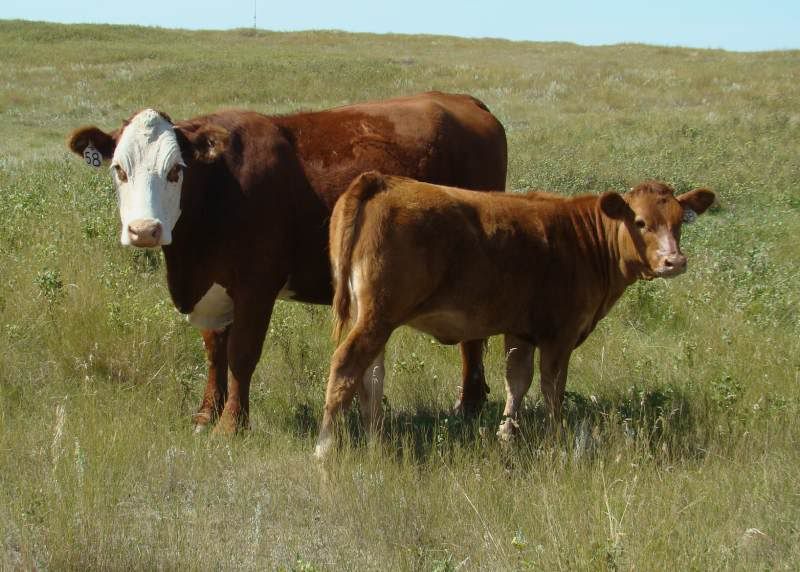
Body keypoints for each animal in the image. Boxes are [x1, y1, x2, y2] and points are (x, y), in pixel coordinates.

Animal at [66, 92, 507, 434]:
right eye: (119, 169)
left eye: (176, 170)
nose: (144, 230)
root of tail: (462, 100)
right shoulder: (213, 287)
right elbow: (214, 351)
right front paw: (206, 414)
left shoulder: (256, 286)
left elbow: (241, 354)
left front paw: (232, 425)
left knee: (474, 339)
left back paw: (468, 406)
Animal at [314, 172, 715, 458]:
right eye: (642, 222)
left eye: (679, 222)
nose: (674, 261)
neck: (584, 238)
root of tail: (381, 181)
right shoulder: (560, 333)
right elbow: (553, 388)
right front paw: (557, 437)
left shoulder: (521, 331)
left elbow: (517, 380)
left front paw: (507, 433)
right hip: (378, 316)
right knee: (347, 366)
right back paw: (325, 445)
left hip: (372, 317)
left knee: (371, 377)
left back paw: (375, 440)